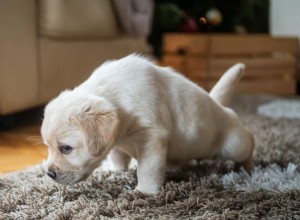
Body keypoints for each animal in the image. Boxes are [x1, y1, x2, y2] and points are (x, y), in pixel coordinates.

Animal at [41, 54, 254, 195]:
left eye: (66, 148)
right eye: (48, 147)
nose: (49, 173)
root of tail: (220, 105)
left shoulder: (152, 137)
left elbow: (147, 168)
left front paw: (144, 192)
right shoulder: (116, 139)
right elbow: (118, 156)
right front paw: (116, 171)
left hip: (235, 145)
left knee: (249, 141)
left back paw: (248, 168)